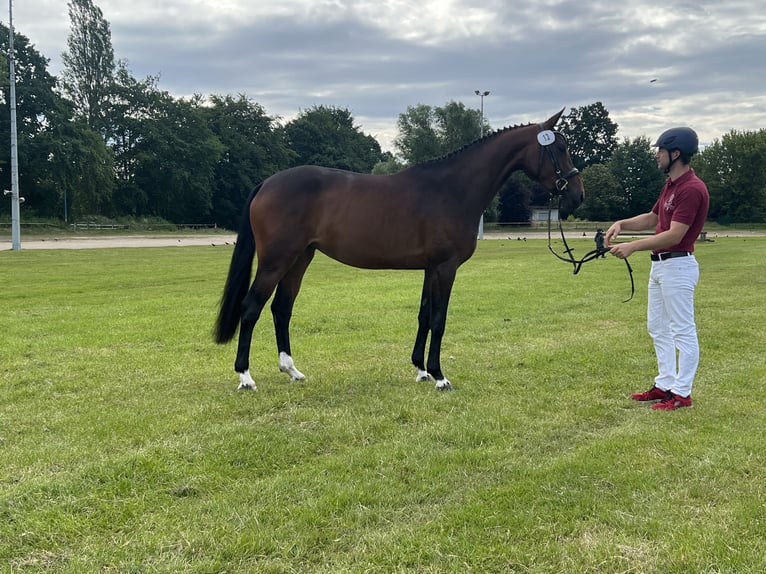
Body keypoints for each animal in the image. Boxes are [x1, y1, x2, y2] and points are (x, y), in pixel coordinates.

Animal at [213, 109, 584, 392]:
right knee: (250, 309)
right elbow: (439, 319)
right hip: (276, 261)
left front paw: (421, 370)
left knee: (281, 309)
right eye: (559, 147)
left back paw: (292, 370)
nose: (577, 195)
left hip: (300, 259)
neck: (452, 189)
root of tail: (267, 183)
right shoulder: (446, 267)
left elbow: (424, 315)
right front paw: (440, 376)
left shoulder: (430, 268)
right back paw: (245, 377)